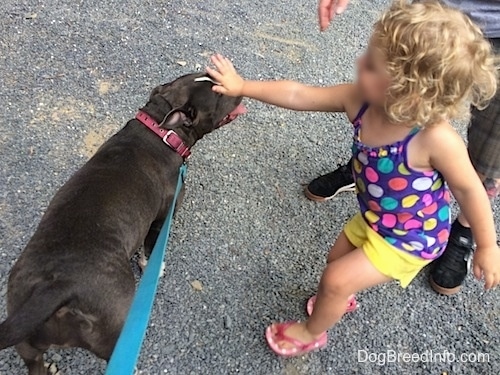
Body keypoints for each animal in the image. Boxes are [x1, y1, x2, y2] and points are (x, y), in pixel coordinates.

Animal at [0, 73, 244, 375]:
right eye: (219, 94)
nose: (239, 82)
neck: (160, 131)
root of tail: (56, 287)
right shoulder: (164, 215)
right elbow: (151, 248)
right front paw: (154, 267)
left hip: (27, 341)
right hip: (114, 332)